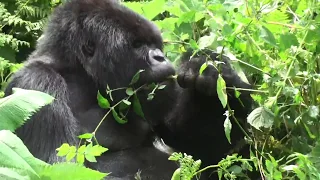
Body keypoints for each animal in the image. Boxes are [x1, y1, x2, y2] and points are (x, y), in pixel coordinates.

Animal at [3, 0, 252, 179]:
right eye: (137, 45)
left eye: (155, 44)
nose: (160, 57)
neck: (82, 76)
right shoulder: (36, 84)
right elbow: (57, 167)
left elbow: (204, 150)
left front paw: (213, 73)